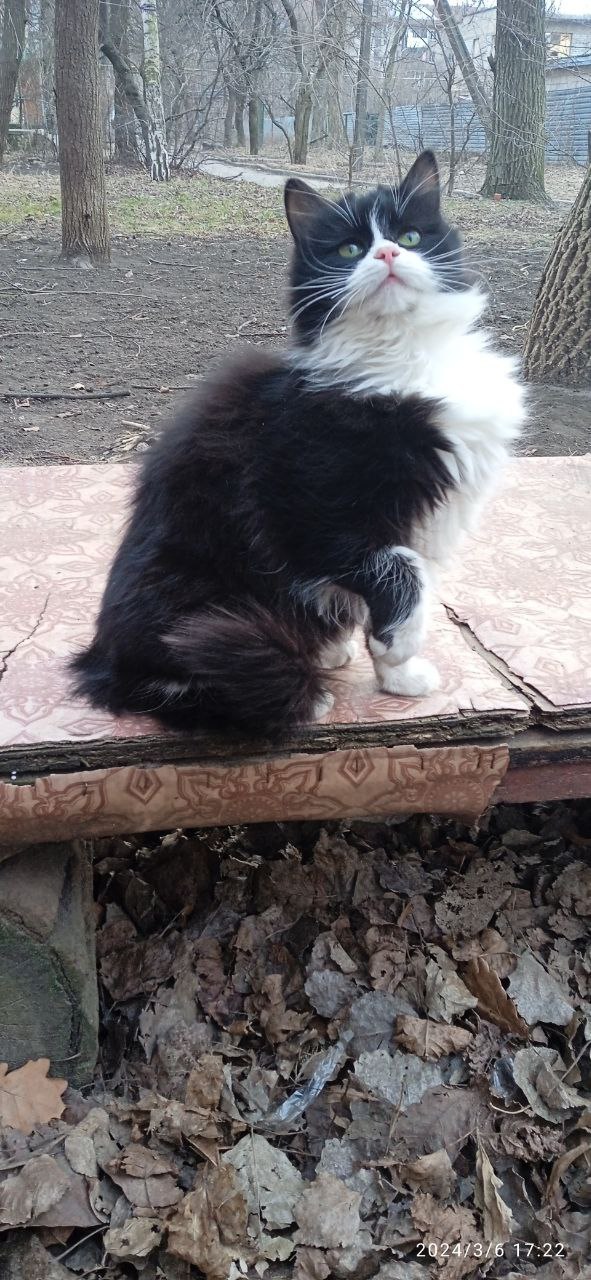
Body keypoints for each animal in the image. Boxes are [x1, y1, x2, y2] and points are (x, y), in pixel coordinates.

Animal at [71, 150, 525, 739]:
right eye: (349, 249)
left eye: (410, 235)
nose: (387, 252)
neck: (403, 357)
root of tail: (100, 658)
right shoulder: (309, 511)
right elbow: (405, 573)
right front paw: (400, 650)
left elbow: (401, 585)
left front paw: (397, 679)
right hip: (192, 598)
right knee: (177, 684)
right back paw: (300, 692)